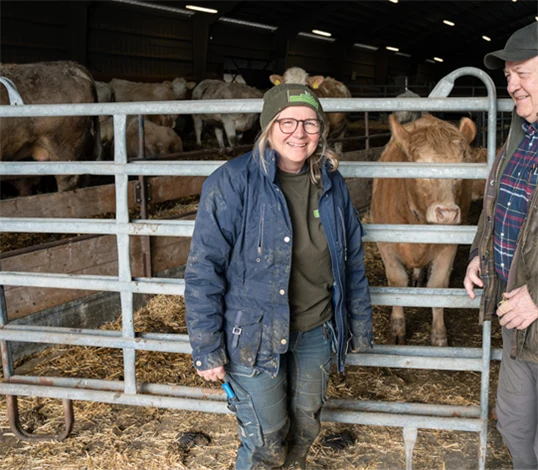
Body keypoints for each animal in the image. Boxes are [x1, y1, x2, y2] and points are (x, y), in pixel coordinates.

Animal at [370, 114, 476, 346]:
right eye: (420, 166)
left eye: (462, 168)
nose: (447, 213)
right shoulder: (384, 243)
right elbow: (397, 282)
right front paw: (397, 328)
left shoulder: (449, 246)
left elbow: (438, 285)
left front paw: (439, 335)